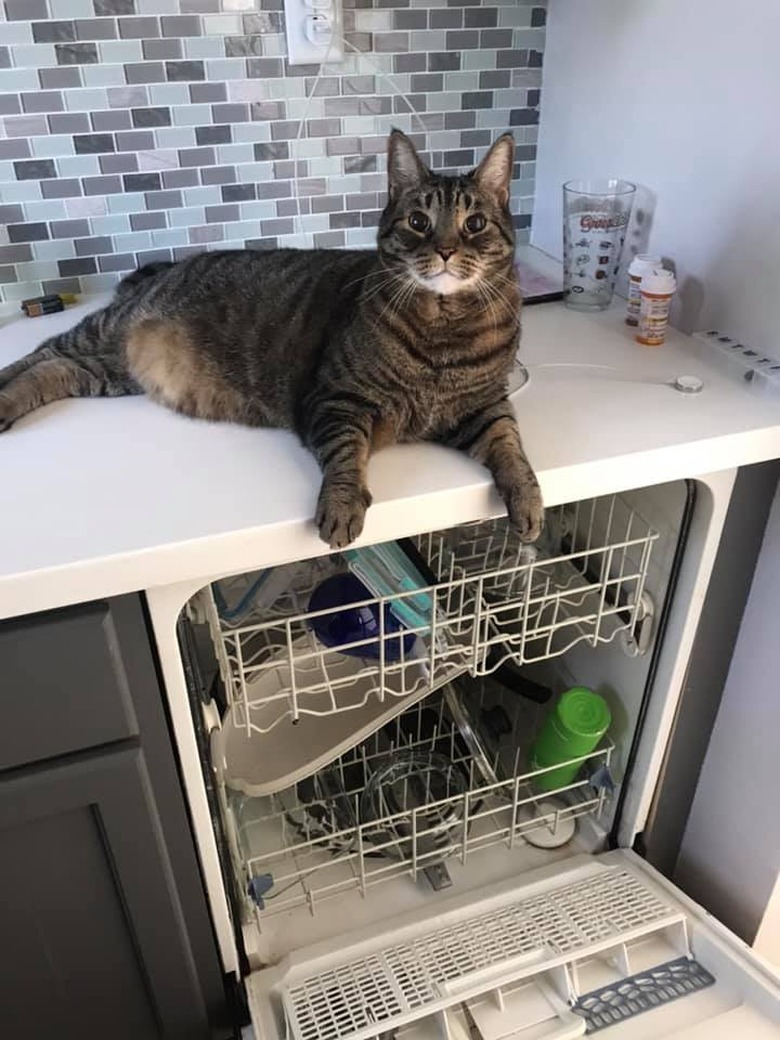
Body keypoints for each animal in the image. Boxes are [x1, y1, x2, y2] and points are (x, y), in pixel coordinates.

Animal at [0, 130, 544, 549]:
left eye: (475, 223)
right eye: (418, 222)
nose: (447, 250)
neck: (443, 328)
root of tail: (164, 268)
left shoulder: (485, 406)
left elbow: (511, 447)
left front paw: (530, 499)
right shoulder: (337, 400)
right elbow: (346, 456)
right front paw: (342, 505)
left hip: (112, 370)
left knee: (55, 369)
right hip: (108, 334)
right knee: (40, 353)